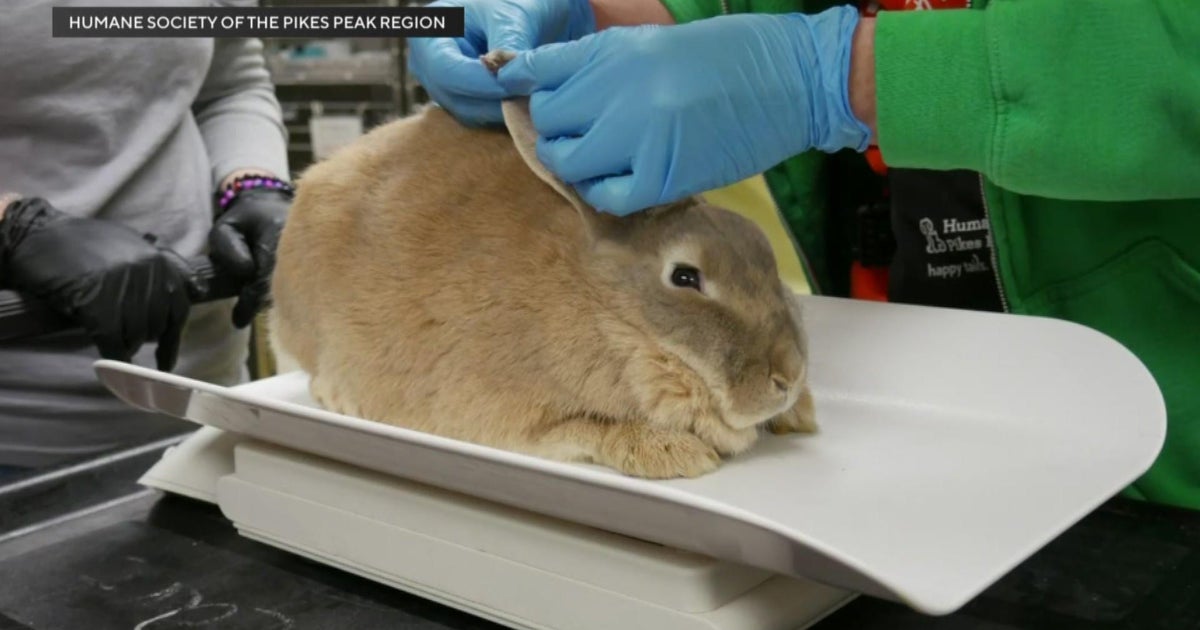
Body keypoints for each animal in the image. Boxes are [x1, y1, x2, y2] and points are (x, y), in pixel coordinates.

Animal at [268, 50, 816, 479]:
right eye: (685, 276)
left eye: (761, 247)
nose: (789, 376)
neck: (614, 318)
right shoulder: (518, 414)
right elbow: (588, 428)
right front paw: (673, 453)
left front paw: (800, 415)